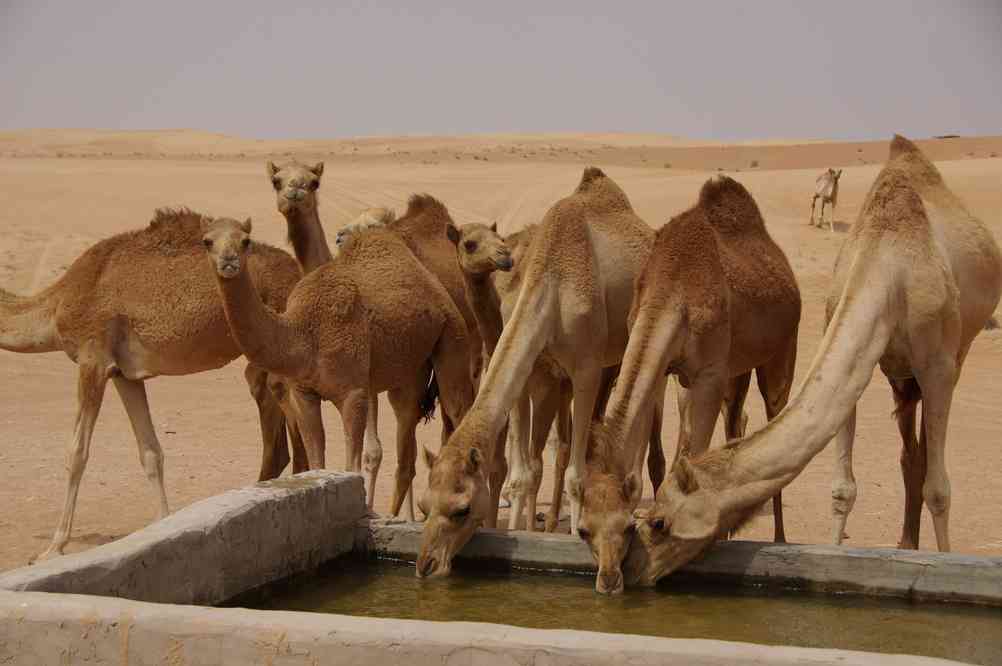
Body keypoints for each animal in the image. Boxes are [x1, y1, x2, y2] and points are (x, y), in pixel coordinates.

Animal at [0, 208, 298, 560]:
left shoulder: (92, 359)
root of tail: (298, 272)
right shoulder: (123, 374)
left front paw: (53, 548)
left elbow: (76, 452)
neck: (58, 302)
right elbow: (150, 452)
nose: (228, 261)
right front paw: (162, 524)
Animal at [203, 215, 476, 516]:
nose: (228, 261)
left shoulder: (352, 393)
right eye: (207, 241)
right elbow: (317, 463)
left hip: (453, 335)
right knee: (406, 448)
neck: (304, 331)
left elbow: (352, 467)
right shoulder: (304, 393)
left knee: (459, 411)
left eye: (245, 241)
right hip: (410, 367)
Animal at [412, 167, 653, 576]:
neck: (549, 284)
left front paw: (580, 536)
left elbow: (575, 475)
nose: (425, 565)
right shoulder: (532, 375)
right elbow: (522, 474)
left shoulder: (585, 369)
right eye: (425, 506)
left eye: (461, 509)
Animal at [577, 175, 801, 592]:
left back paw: (779, 537)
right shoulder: (665, 368)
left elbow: (693, 453)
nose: (609, 580)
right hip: (737, 368)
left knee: (775, 410)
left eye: (626, 527)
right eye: (583, 530)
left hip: (782, 350)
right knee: (735, 423)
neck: (672, 290)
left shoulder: (708, 375)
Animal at [625, 136, 1002, 588]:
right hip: (901, 376)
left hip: (953, 353)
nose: (633, 570)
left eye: (659, 522)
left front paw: (945, 560)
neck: (890, 269)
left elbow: (940, 490)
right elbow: (843, 489)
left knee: (930, 453)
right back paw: (906, 542)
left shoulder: (938, 365)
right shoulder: (857, 351)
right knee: (910, 451)